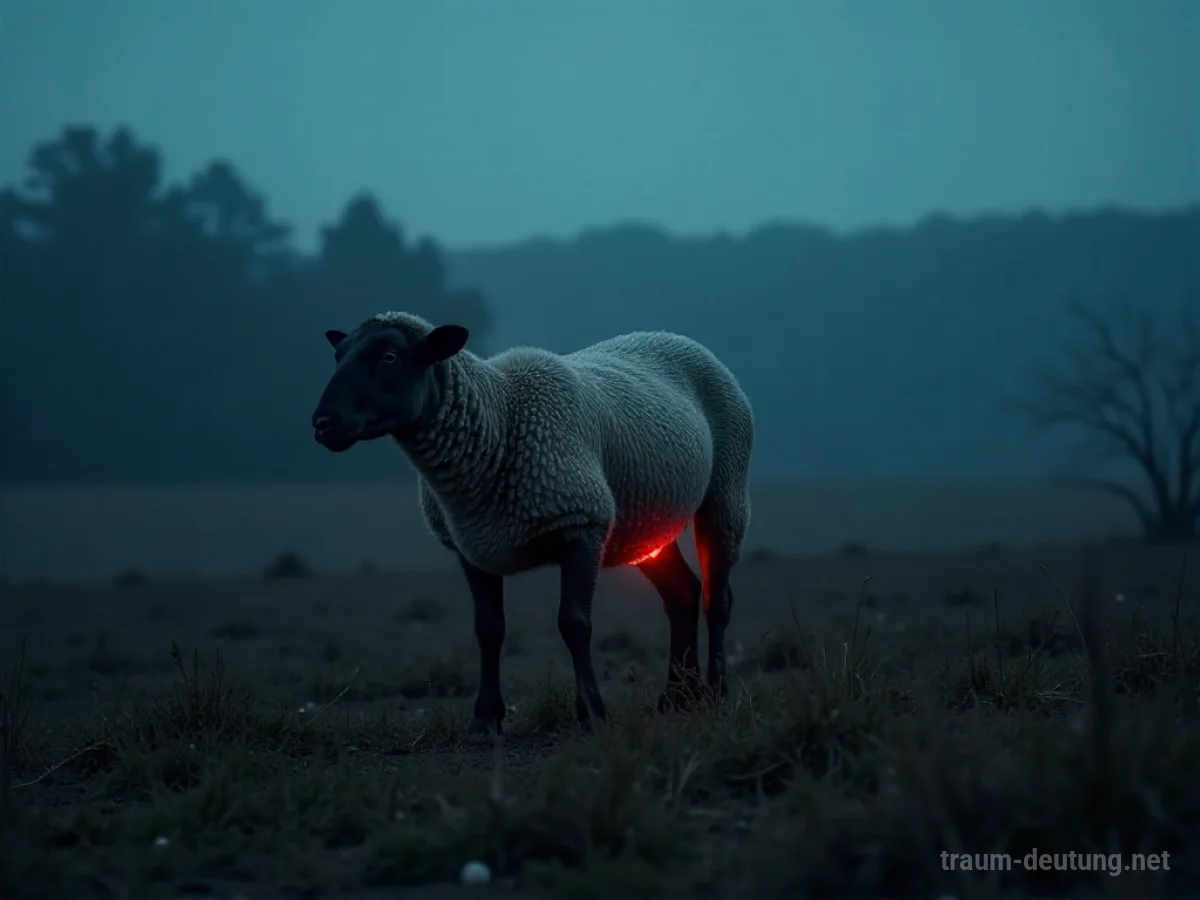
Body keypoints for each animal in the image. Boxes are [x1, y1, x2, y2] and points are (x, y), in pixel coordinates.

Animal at [311, 311, 753, 736]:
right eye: (338, 355)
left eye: (390, 356)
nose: (322, 423)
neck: (499, 419)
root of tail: (674, 336)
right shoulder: (471, 546)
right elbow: (489, 630)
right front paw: (484, 721)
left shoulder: (582, 525)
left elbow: (574, 624)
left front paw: (592, 715)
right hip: (646, 528)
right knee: (683, 593)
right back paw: (679, 695)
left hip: (726, 489)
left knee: (717, 600)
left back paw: (715, 691)